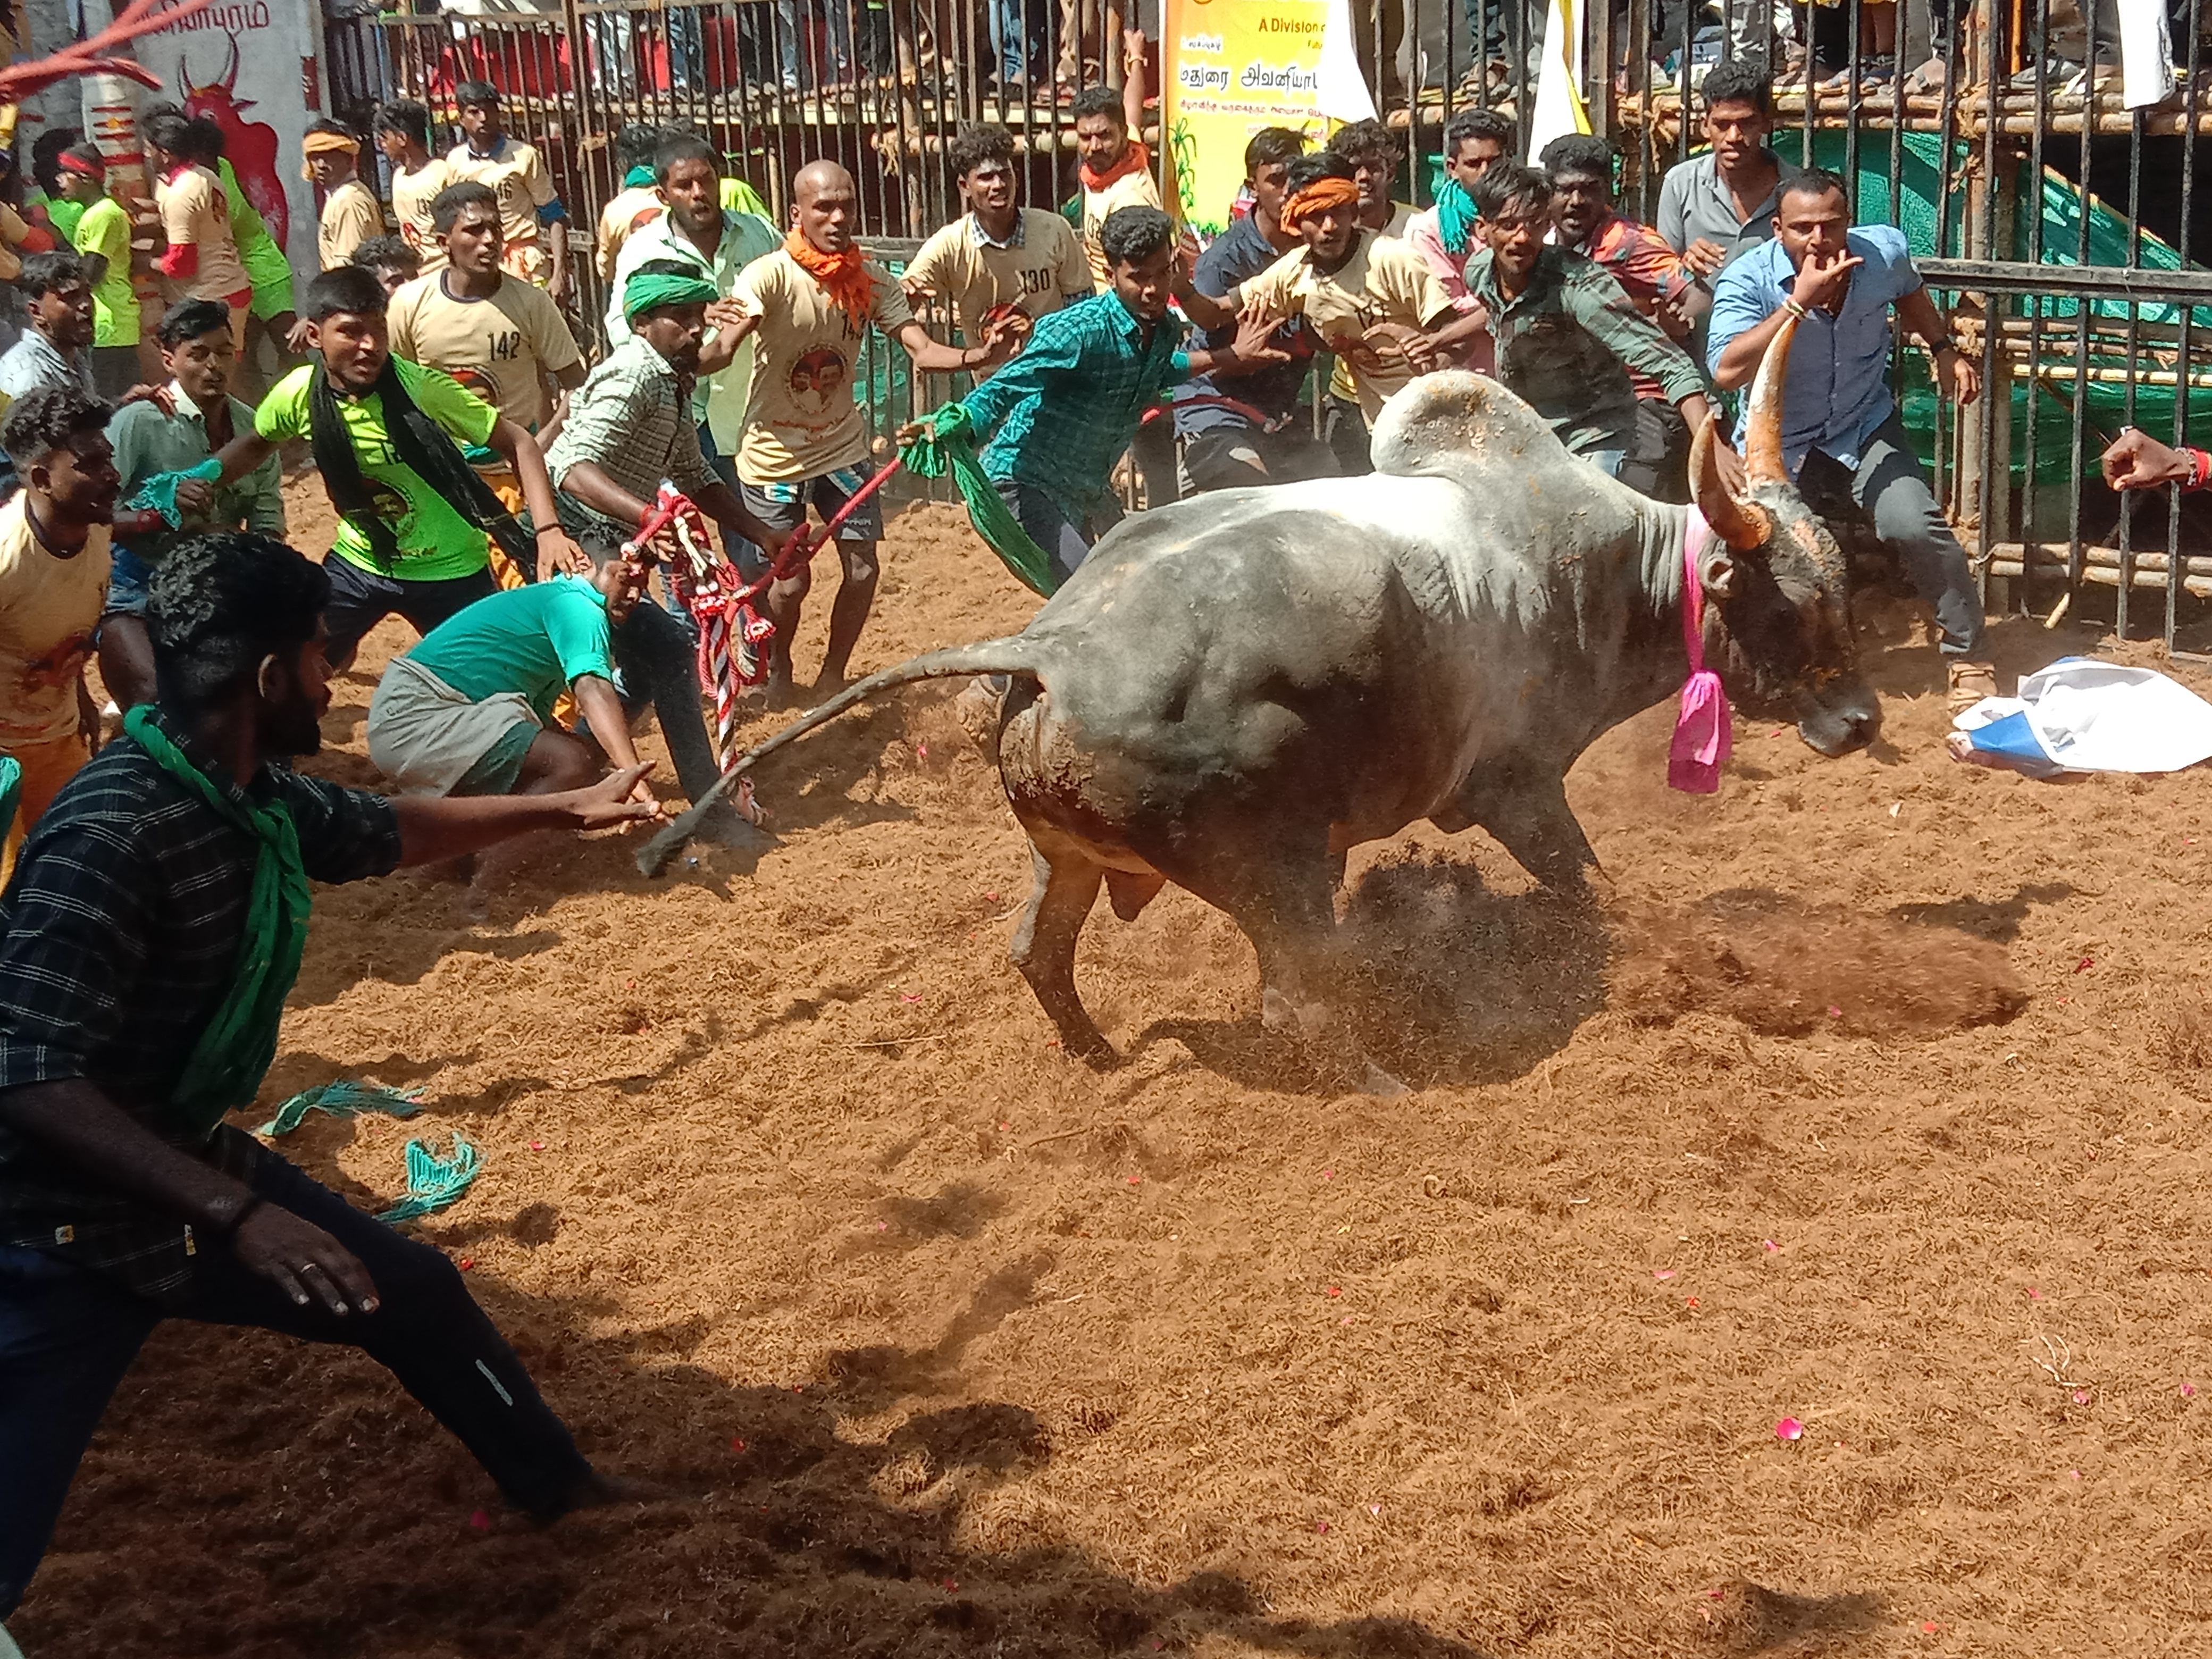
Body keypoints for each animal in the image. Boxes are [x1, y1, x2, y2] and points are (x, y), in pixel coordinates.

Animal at [646, 319, 1884, 1093]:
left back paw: (1101, 1061)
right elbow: (1589, 885)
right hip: (1277, 872)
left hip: (1070, 854)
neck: (1595, 566)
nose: (1864, 722)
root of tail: (1051, 645)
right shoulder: (1514, 788)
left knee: (1038, 953)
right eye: (1793, 602)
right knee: (1295, 1001)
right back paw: (1384, 1084)